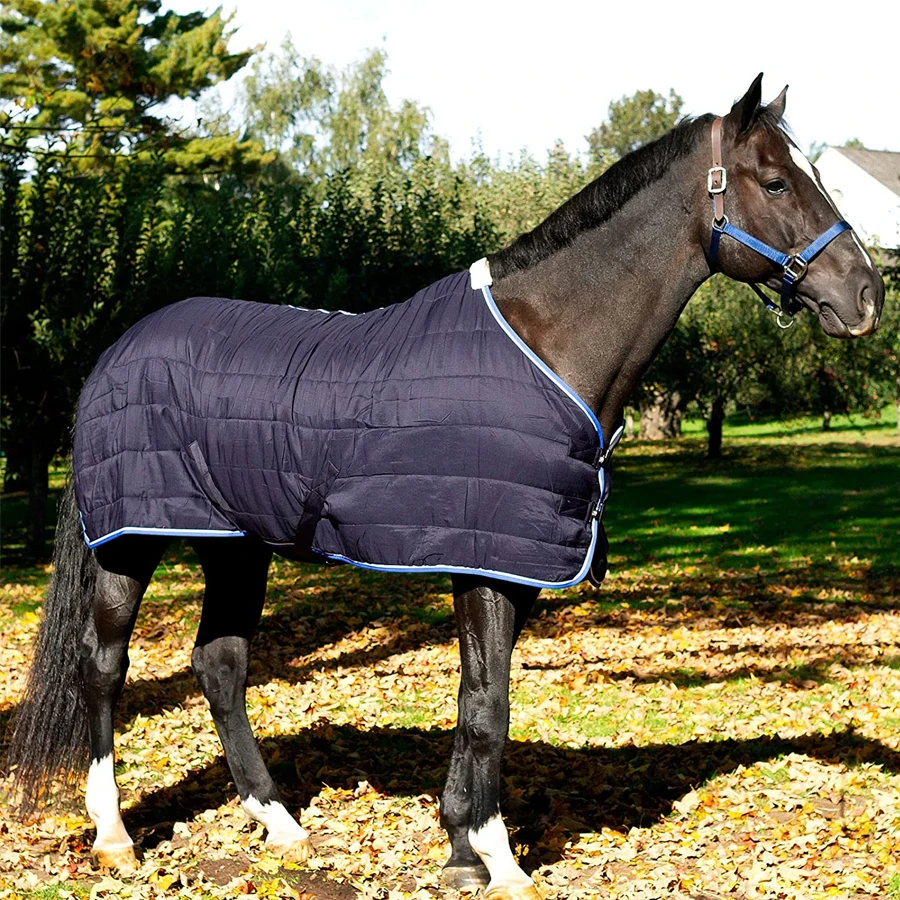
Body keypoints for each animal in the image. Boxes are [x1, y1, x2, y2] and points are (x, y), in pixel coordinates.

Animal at [8, 75, 884, 900]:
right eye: (776, 182)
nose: (866, 296)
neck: (546, 341)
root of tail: (119, 349)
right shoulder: (485, 564)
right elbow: (490, 708)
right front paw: (499, 858)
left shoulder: (509, 567)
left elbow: (473, 700)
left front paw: (462, 850)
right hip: (132, 542)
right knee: (104, 666)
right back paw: (114, 834)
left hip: (236, 546)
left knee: (219, 665)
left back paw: (280, 823)